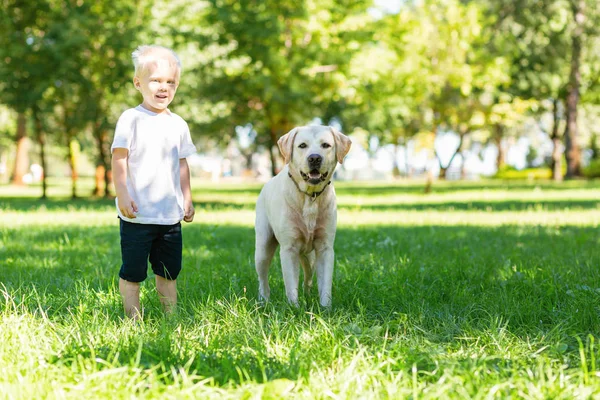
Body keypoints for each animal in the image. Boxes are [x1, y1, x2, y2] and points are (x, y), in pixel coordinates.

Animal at [253, 125, 352, 306]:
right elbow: (291, 285)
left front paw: (326, 308)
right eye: (302, 145)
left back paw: (307, 295)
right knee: (262, 278)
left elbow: (325, 283)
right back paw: (264, 301)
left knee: (308, 277)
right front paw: (294, 308)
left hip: (309, 256)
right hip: (263, 247)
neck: (310, 196)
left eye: (326, 145)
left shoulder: (325, 247)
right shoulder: (289, 248)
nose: (314, 158)